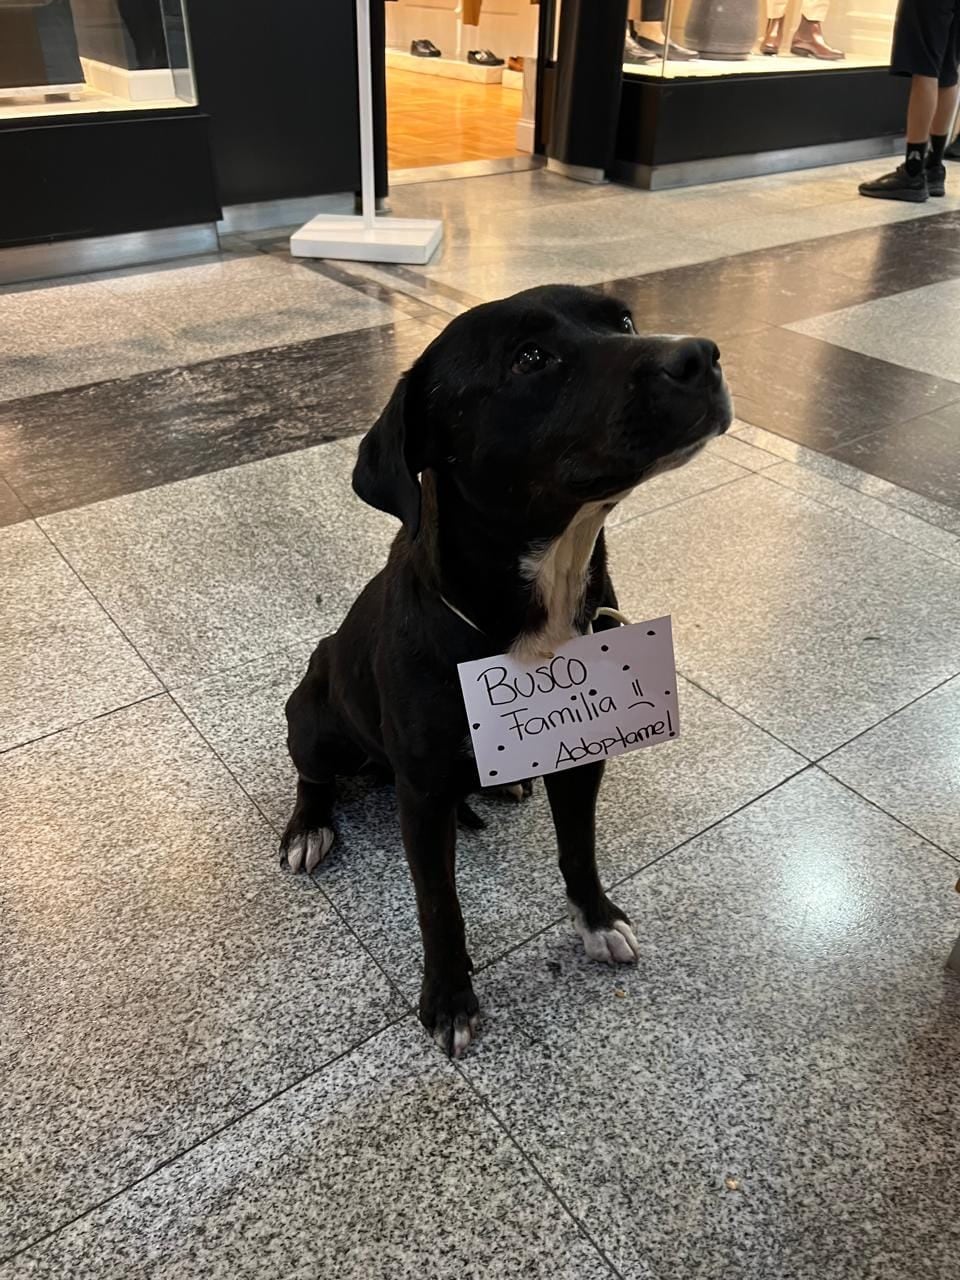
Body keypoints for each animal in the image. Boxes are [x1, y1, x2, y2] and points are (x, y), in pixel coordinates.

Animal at [281, 285, 732, 1054]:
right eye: (530, 358)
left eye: (624, 320)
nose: (700, 355)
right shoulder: (423, 795)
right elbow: (439, 903)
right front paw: (449, 996)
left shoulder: (582, 753)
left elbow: (578, 848)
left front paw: (596, 918)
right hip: (311, 713)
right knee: (313, 776)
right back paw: (308, 827)